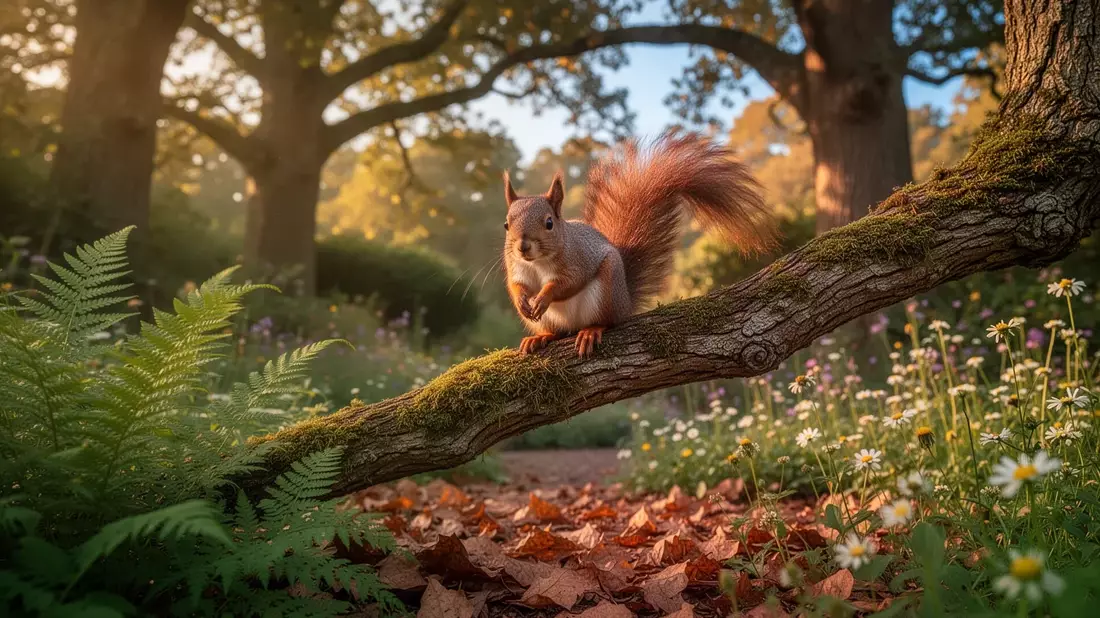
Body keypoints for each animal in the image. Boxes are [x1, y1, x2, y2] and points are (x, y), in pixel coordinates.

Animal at [502, 130, 777, 358]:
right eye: (506, 224)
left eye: (549, 223)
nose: (523, 247)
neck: (537, 262)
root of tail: (625, 299)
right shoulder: (517, 268)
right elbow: (517, 285)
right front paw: (523, 300)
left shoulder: (577, 258)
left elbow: (568, 283)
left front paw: (544, 296)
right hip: (548, 320)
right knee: (556, 332)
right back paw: (540, 337)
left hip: (607, 292)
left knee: (608, 321)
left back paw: (591, 330)